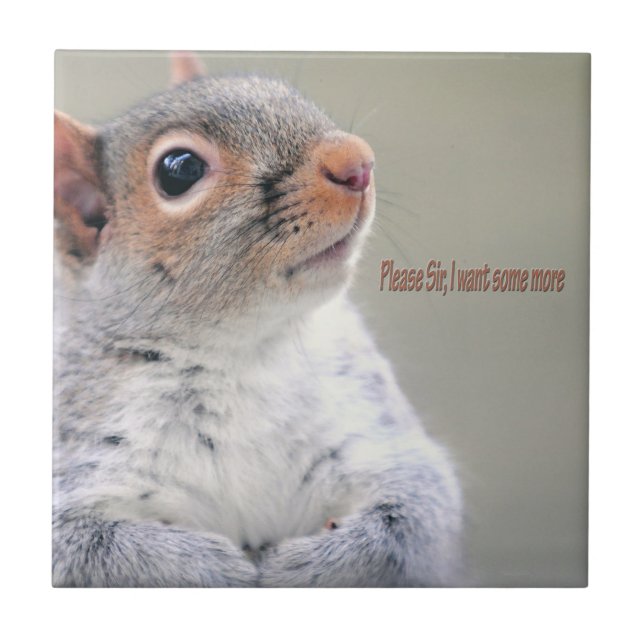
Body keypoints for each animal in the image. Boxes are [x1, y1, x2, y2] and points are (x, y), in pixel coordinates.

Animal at [53, 52, 463, 587]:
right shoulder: (76, 466)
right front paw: (210, 570)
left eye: (283, 91)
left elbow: (416, 516)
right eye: (179, 170)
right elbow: (89, 552)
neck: (242, 351)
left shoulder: (378, 435)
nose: (357, 161)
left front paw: (307, 568)